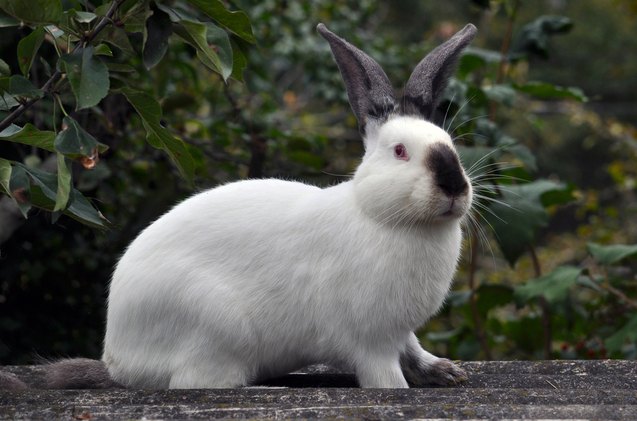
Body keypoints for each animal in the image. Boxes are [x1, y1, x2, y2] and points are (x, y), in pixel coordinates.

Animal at [1, 21, 476, 388]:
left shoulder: (400, 333)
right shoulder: (371, 341)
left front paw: (446, 372)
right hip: (215, 327)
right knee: (192, 382)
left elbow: (414, 350)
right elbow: (386, 377)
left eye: (450, 145)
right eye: (400, 151)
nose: (454, 186)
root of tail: (119, 361)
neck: (383, 216)